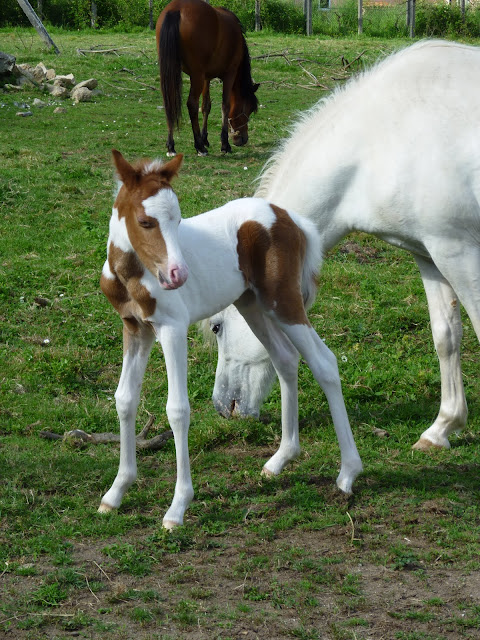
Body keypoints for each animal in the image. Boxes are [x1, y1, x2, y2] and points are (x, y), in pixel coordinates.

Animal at [99, 151, 362, 528]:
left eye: (178, 219)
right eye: (145, 222)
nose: (178, 275)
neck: (133, 274)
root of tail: (289, 217)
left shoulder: (172, 328)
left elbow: (177, 409)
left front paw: (178, 507)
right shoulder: (135, 328)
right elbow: (124, 399)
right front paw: (116, 492)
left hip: (283, 301)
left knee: (324, 362)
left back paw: (348, 474)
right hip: (251, 303)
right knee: (285, 358)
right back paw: (281, 459)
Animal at [157, 0, 258, 157]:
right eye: (249, 109)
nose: (243, 139)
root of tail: (176, 9)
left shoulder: (206, 78)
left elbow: (206, 106)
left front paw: (204, 138)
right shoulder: (230, 74)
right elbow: (225, 105)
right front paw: (224, 144)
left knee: (170, 101)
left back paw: (171, 146)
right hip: (196, 76)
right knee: (192, 104)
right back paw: (199, 147)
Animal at [208, 38, 480, 450]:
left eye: (217, 327)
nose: (224, 407)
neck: (383, 141)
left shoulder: (459, 252)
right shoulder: (431, 254)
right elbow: (446, 336)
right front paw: (442, 428)